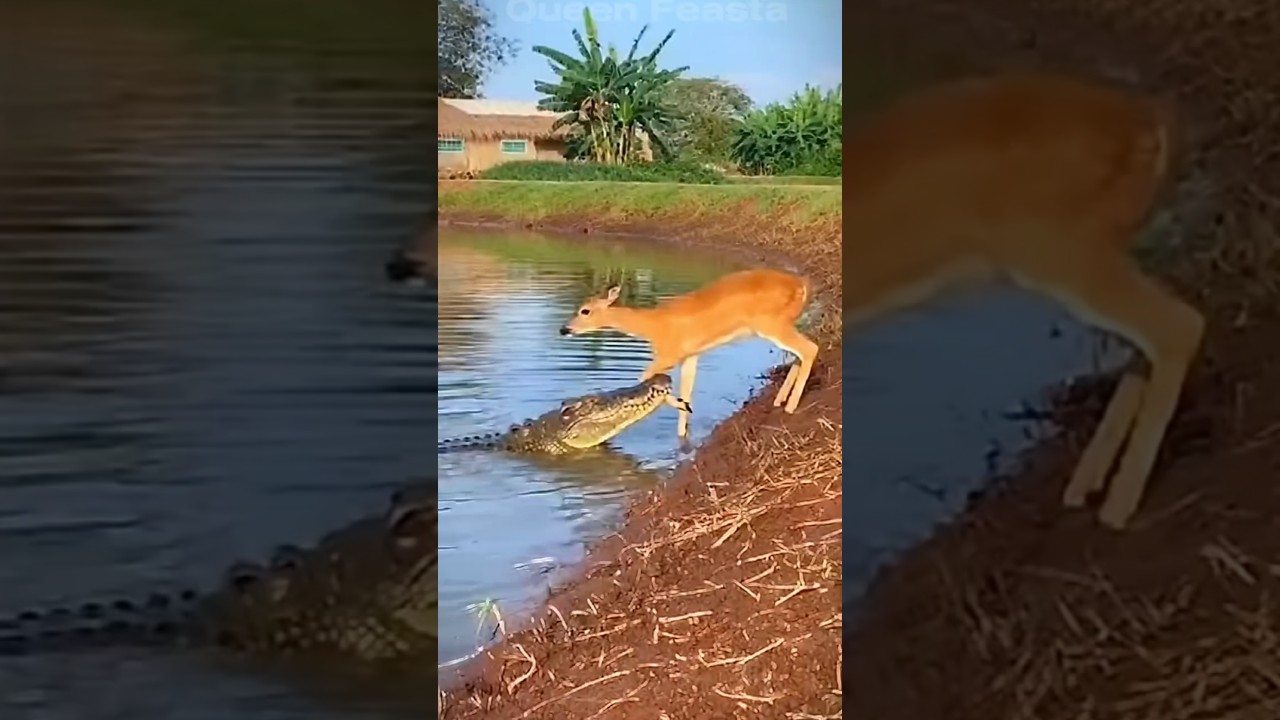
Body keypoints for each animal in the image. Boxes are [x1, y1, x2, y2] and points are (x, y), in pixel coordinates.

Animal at [559, 268, 820, 441]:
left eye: (585, 310)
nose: (564, 329)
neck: (653, 325)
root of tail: (801, 284)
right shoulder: (691, 356)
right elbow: (687, 389)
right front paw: (682, 428)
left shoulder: (670, 354)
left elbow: (644, 378)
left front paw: (680, 407)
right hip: (783, 322)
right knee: (798, 354)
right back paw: (779, 400)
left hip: (770, 323)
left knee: (809, 349)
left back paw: (790, 407)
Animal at [831, 71, 1200, 531]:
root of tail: (1146, 120)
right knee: (1143, 344)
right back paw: (1084, 487)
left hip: (1059, 250)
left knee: (1180, 325)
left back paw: (1117, 508)